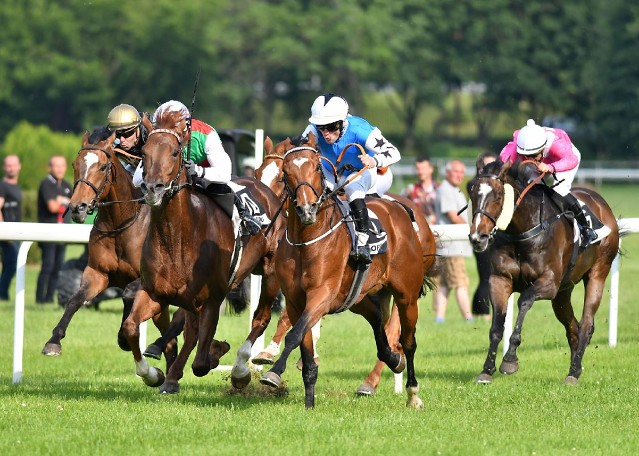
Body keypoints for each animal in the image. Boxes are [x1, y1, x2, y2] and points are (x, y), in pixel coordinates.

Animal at [122, 109, 284, 392]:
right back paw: (172, 376)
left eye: (175, 152)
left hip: (271, 271)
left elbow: (200, 363)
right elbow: (132, 327)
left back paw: (240, 369)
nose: (153, 188)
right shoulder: (154, 292)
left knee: (261, 318)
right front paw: (154, 374)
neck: (177, 238)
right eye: (144, 152)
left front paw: (220, 354)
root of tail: (267, 190)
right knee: (190, 332)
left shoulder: (212, 299)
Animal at [260, 134, 436, 408]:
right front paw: (308, 402)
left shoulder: (322, 295)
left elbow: (294, 335)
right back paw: (391, 362)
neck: (306, 240)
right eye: (286, 173)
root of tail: (406, 213)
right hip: (358, 296)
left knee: (406, 340)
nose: (307, 209)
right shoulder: (296, 300)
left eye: (316, 167)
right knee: (378, 320)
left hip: (406, 295)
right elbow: (302, 342)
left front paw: (273, 372)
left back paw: (411, 393)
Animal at [468, 159, 624, 382]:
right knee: (572, 327)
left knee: (586, 324)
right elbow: (496, 327)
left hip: (598, 272)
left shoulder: (549, 283)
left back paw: (573, 373)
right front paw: (486, 370)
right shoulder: (499, 280)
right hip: (563, 292)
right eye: (472, 193)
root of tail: (602, 203)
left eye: (498, 196)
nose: (477, 238)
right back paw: (576, 366)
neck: (522, 231)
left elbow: (524, 300)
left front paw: (510, 360)